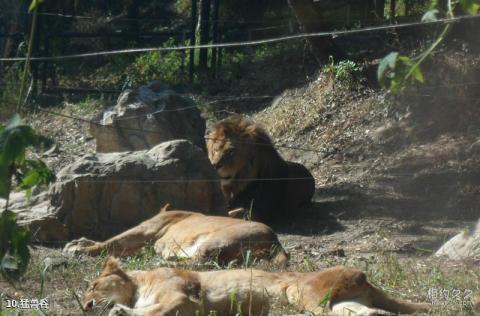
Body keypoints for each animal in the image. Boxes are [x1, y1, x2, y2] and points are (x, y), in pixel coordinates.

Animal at [65, 204, 286, 262]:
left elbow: (110, 242)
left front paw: (78, 249)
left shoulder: (146, 229)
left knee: (200, 264)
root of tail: (275, 239)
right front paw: (78, 242)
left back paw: (165, 261)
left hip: (216, 240)